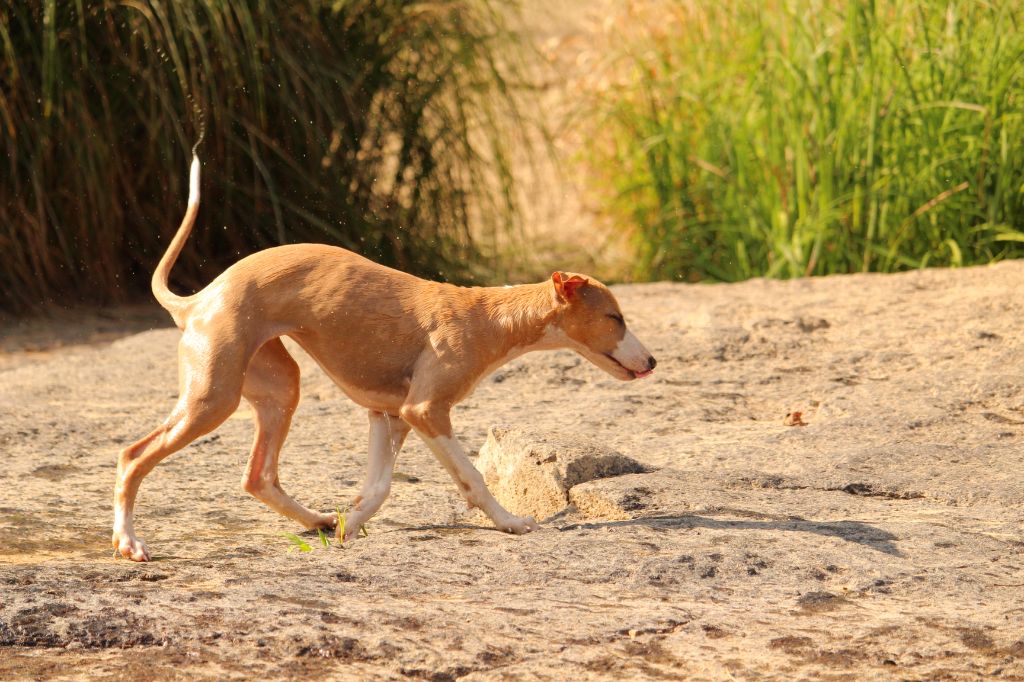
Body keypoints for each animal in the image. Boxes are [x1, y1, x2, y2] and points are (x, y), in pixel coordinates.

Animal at [112, 156, 655, 561]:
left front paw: (348, 527)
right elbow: (473, 478)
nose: (651, 362)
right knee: (133, 455)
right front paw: (512, 523)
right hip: (214, 395)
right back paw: (130, 542)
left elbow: (378, 488)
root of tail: (198, 299)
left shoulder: (389, 414)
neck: (489, 315)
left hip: (279, 385)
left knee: (258, 476)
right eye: (615, 317)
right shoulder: (426, 411)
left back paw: (318, 520)